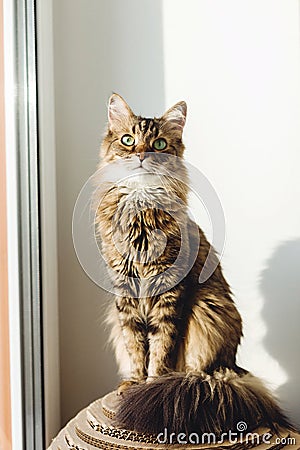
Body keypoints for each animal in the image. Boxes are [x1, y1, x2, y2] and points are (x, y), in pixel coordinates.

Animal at [95, 93, 292, 438]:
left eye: (159, 144)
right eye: (128, 140)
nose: (143, 154)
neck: (140, 212)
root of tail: (233, 366)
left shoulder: (169, 291)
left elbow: (161, 346)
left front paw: (151, 384)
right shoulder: (125, 292)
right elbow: (135, 346)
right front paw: (134, 382)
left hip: (207, 311)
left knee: (203, 373)